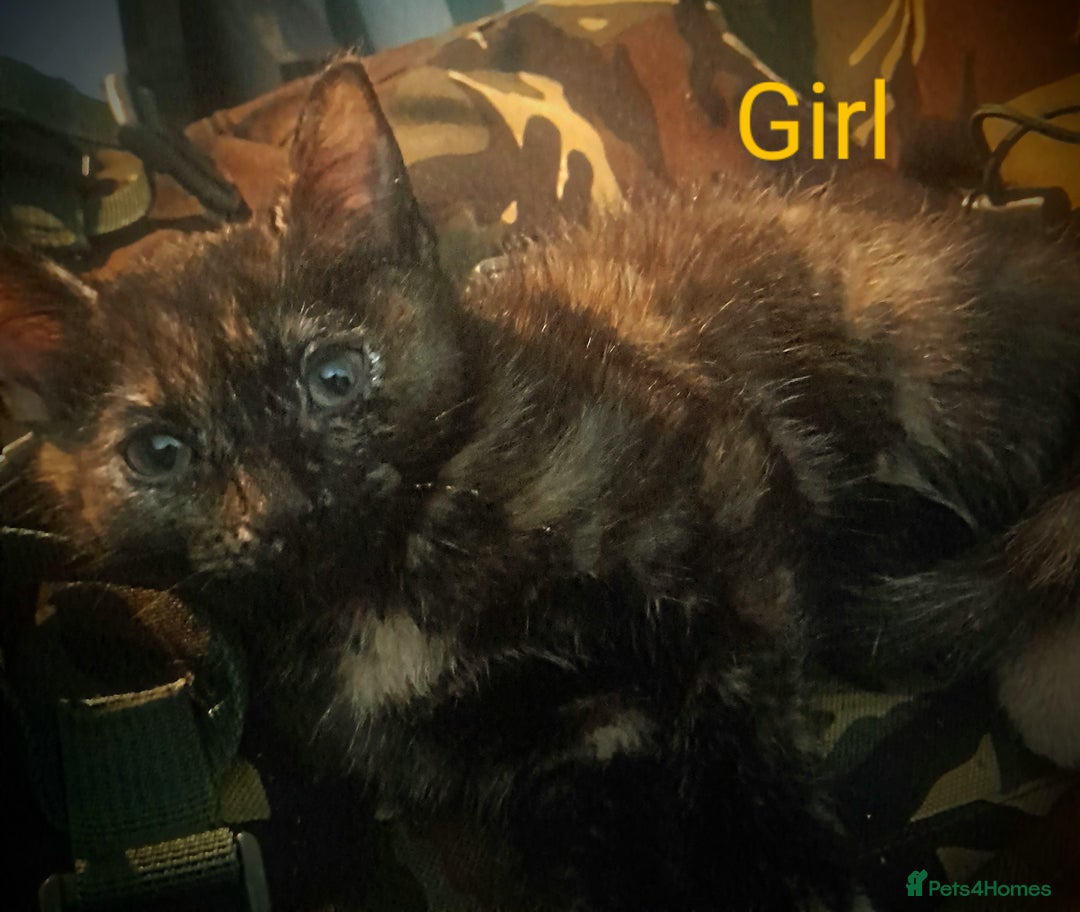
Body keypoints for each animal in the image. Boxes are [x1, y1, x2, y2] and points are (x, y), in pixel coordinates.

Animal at [3, 54, 1080, 910]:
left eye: (335, 376)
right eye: (158, 452)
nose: (280, 507)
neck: (401, 577)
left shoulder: (734, 510)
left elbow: (739, 715)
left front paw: (783, 862)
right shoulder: (556, 745)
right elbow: (603, 850)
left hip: (932, 375)